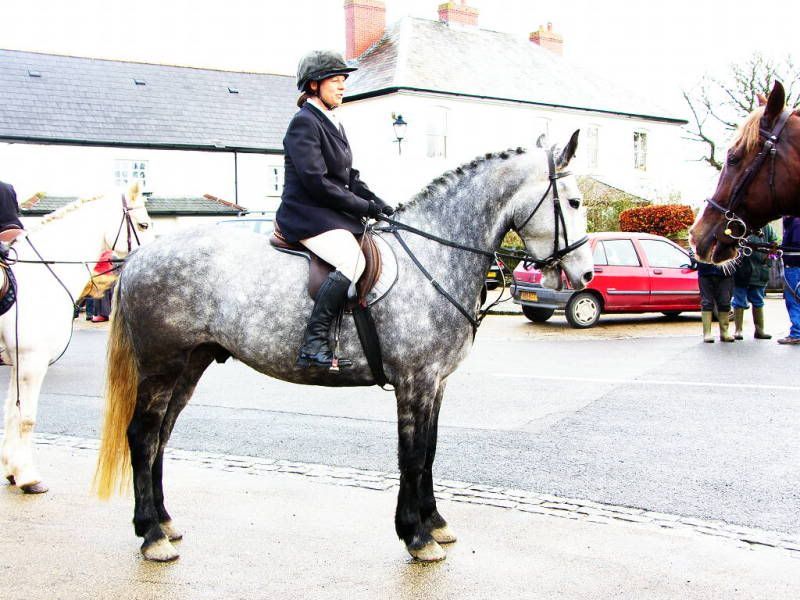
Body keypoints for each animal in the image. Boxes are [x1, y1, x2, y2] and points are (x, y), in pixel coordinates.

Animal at [1, 184, 153, 492]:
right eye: (143, 224)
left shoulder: (19, 361)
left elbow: (12, 413)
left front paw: (13, 470)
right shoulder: (31, 361)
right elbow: (26, 418)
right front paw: (27, 476)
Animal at [95, 134, 592, 564]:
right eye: (573, 202)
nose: (585, 275)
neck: (435, 256)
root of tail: (138, 257)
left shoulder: (436, 382)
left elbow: (430, 451)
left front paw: (434, 523)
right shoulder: (414, 381)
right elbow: (412, 456)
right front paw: (415, 536)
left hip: (189, 365)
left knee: (161, 436)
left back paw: (163, 521)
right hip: (162, 365)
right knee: (143, 436)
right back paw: (151, 536)